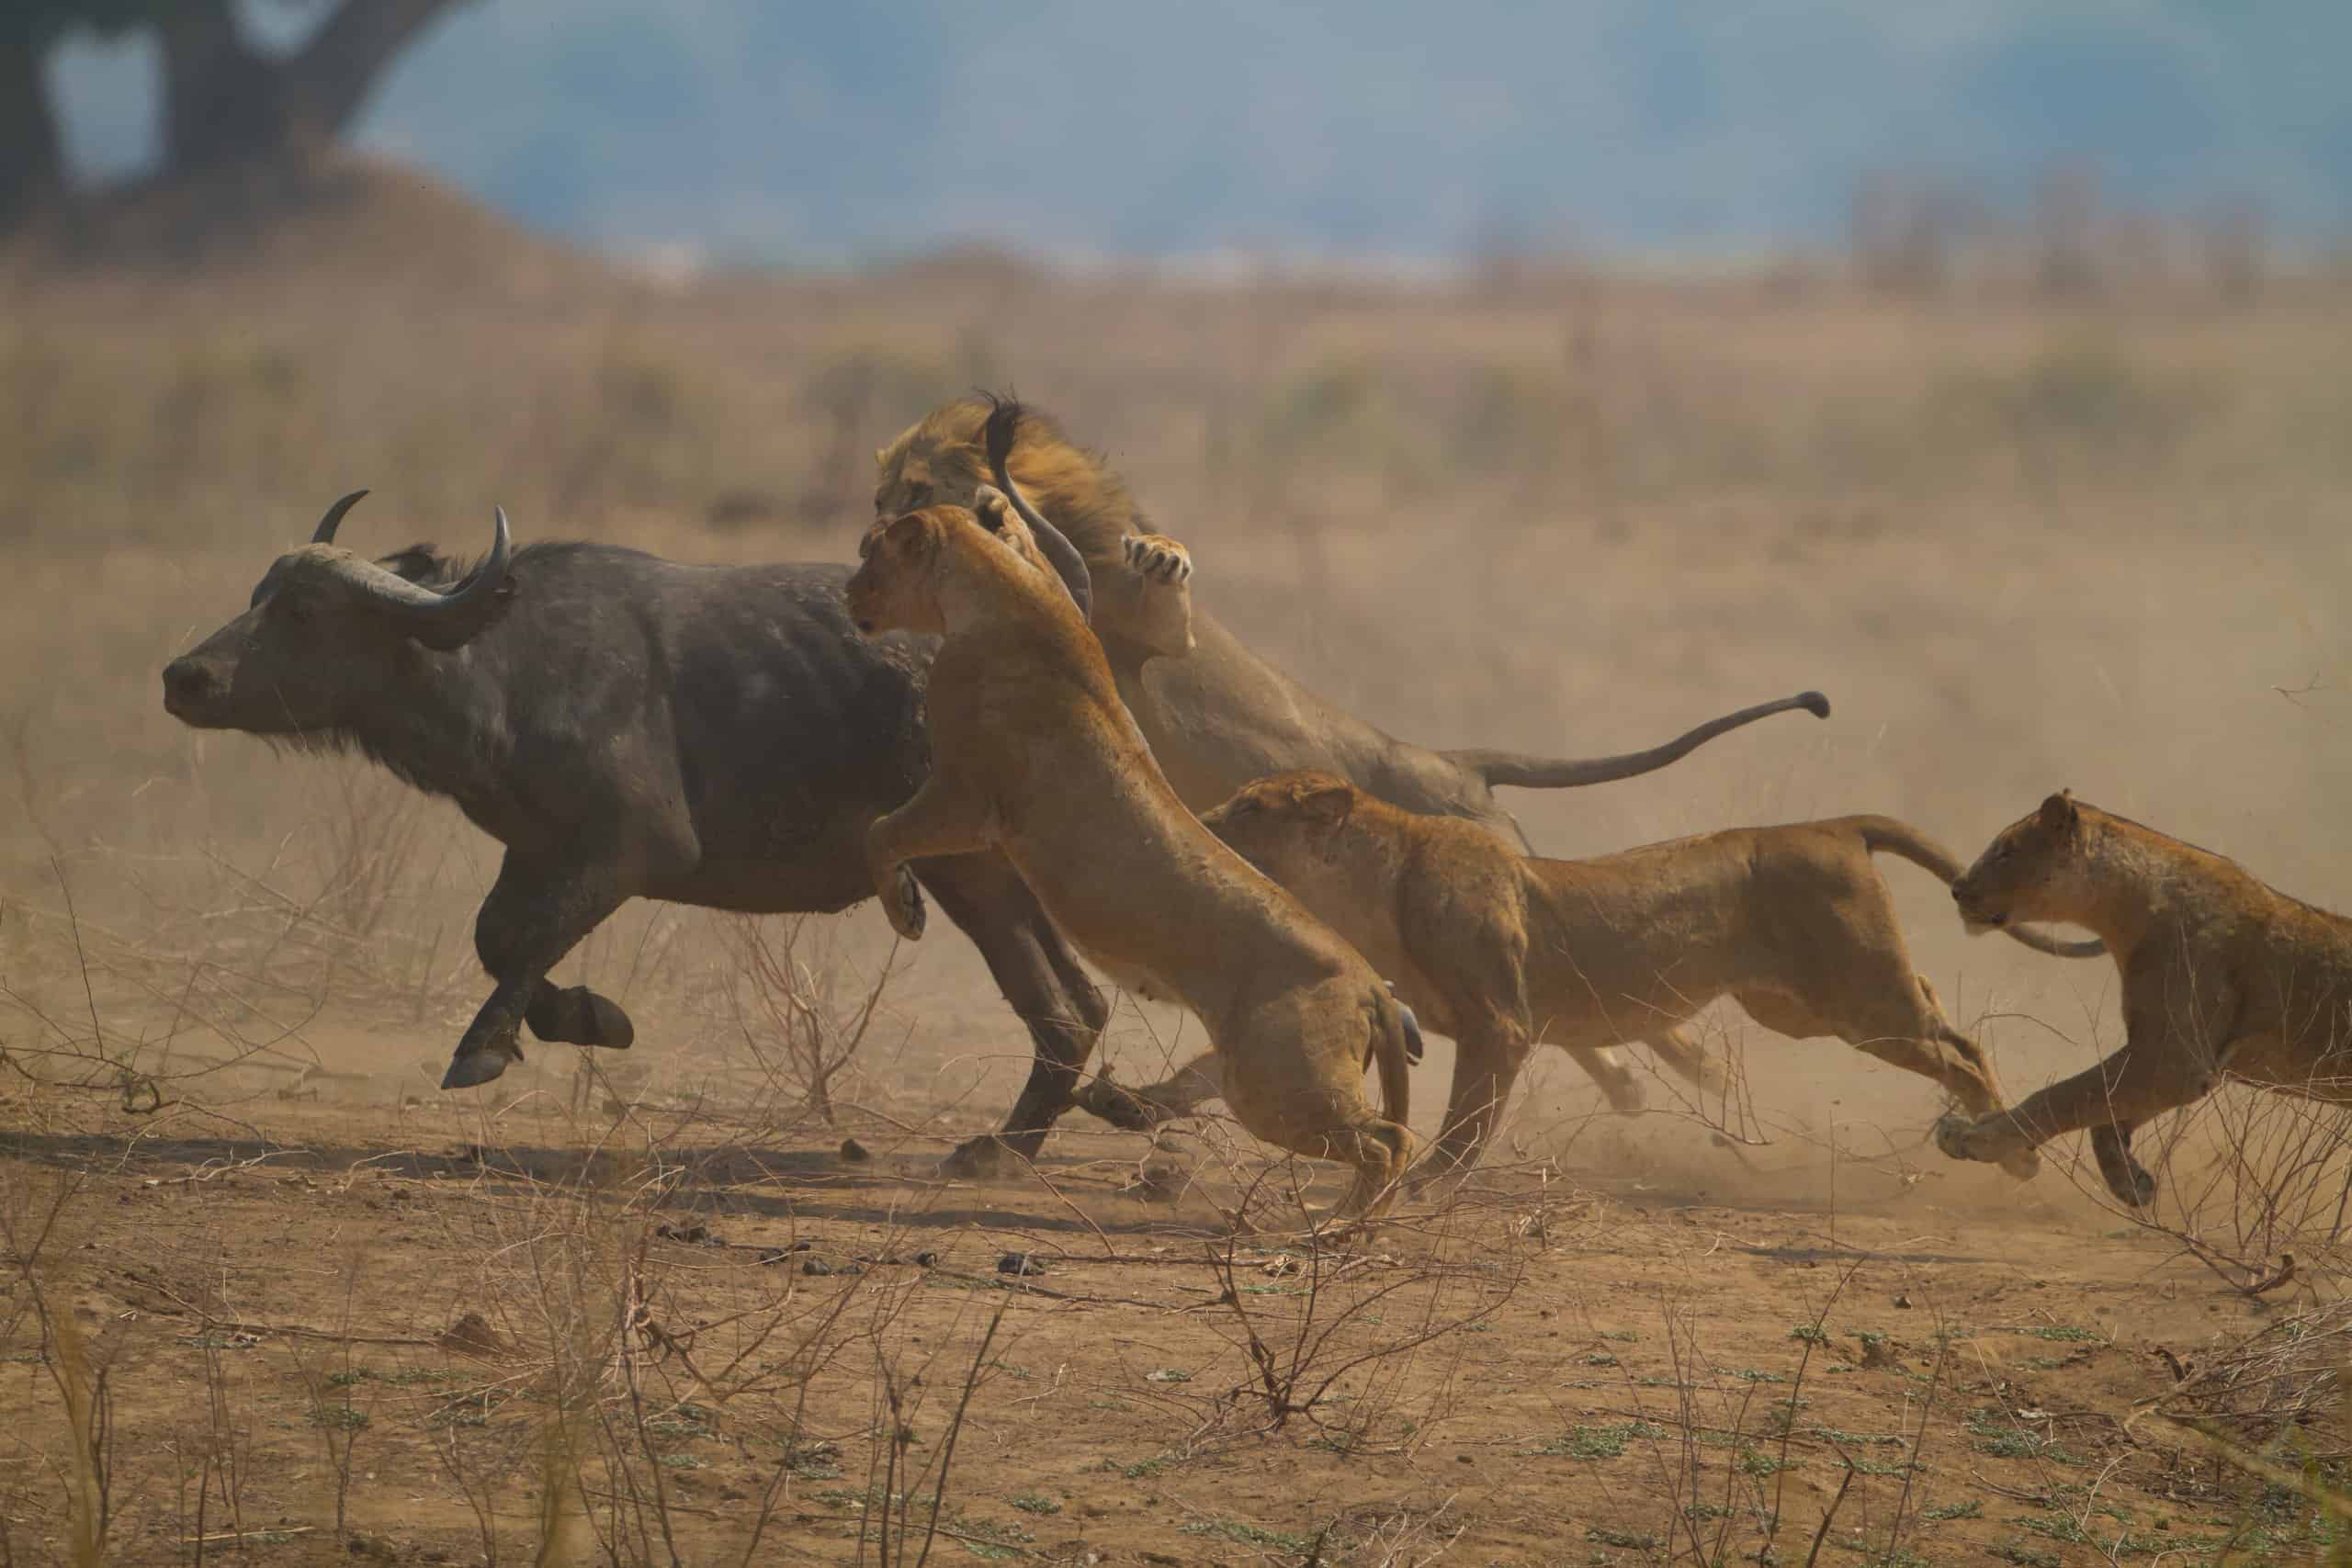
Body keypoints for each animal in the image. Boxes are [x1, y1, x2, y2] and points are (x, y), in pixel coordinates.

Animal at [161, 491, 1133, 1166]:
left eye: (302, 612)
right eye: (260, 593)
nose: (184, 678)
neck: (502, 666)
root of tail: (1060, 613)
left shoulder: (633, 848)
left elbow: (528, 939)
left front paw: (484, 1049)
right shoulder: (536, 847)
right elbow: (497, 936)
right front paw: (590, 1016)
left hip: (969, 867)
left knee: (1060, 1004)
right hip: (989, 871)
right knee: (1074, 1007)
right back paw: (1007, 1147)